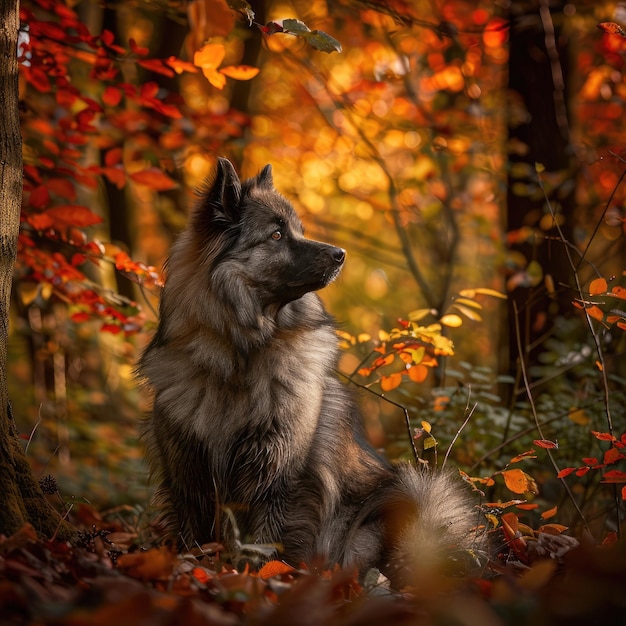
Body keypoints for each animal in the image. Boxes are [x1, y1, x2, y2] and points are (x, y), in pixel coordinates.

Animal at [136, 157, 478, 580]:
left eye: (297, 229)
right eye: (277, 234)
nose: (341, 254)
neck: (240, 358)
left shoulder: (280, 474)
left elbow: (268, 541)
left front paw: (262, 578)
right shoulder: (187, 469)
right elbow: (191, 535)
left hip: (402, 501)